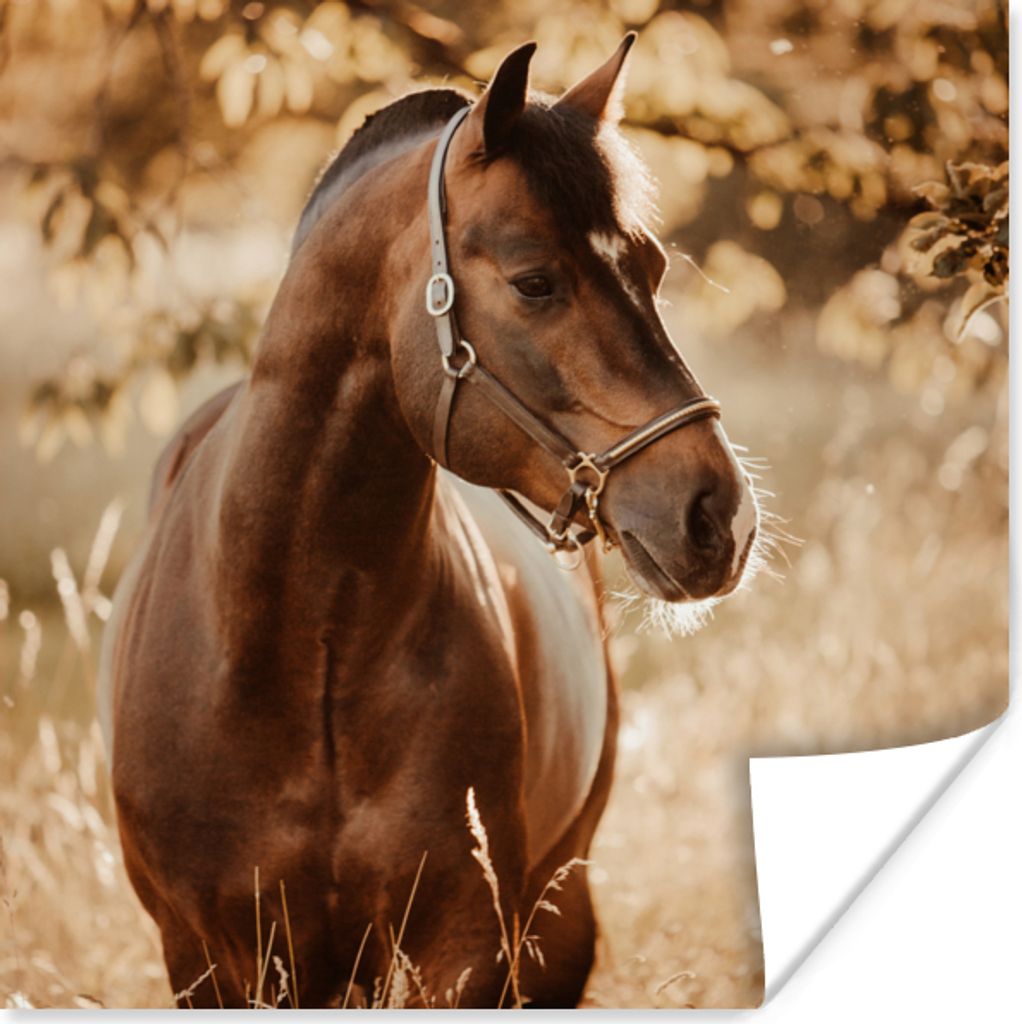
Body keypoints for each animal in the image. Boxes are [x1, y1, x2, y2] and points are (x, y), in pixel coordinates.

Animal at [98, 35, 758, 1008]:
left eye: (653, 269)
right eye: (534, 281)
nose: (721, 515)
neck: (298, 648)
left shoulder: (466, 947)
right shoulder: (208, 958)